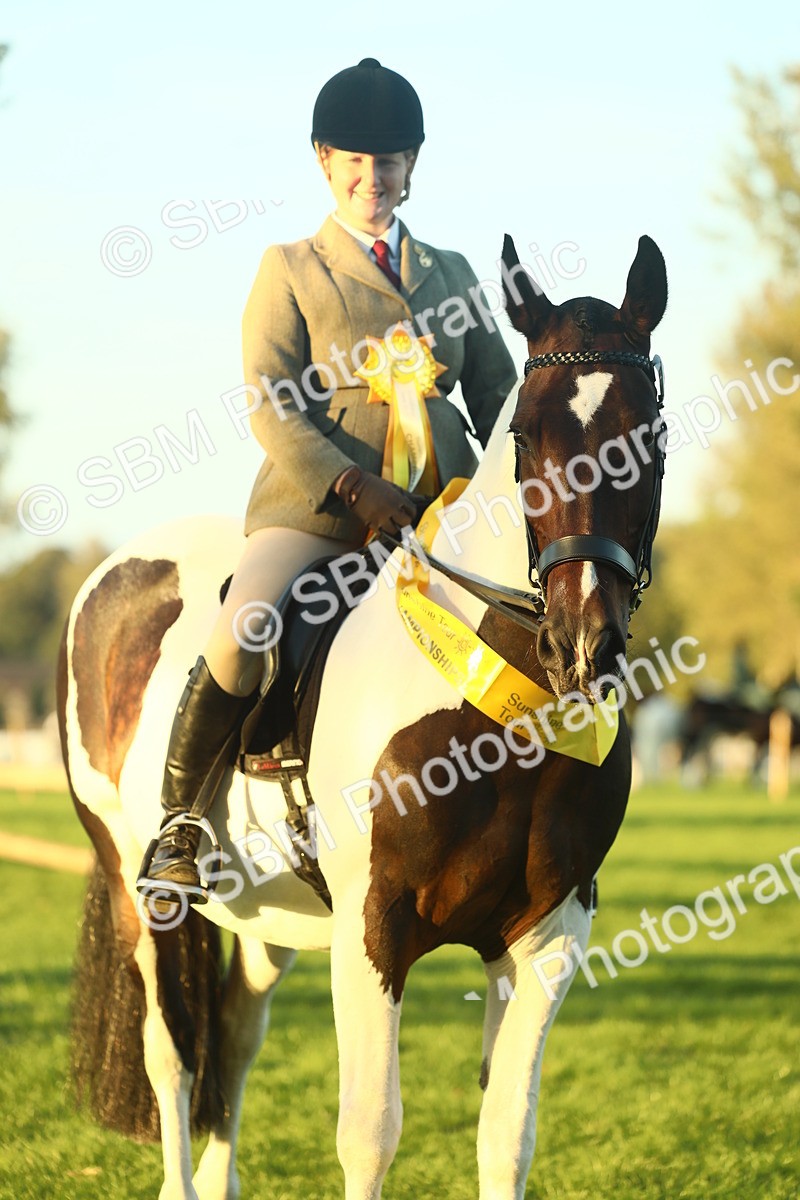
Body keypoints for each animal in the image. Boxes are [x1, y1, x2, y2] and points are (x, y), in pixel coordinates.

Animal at [58, 231, 668, 1200]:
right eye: (524, 438)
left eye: (647, 434)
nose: (585, 642)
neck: (503, 718)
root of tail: (118, 569)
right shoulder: (373, 927)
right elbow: (371, 1133)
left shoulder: (548, 935)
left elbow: (508, 1135)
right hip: (137, 885)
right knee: (173, 1056)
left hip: (270, 916)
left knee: (234, 1041)